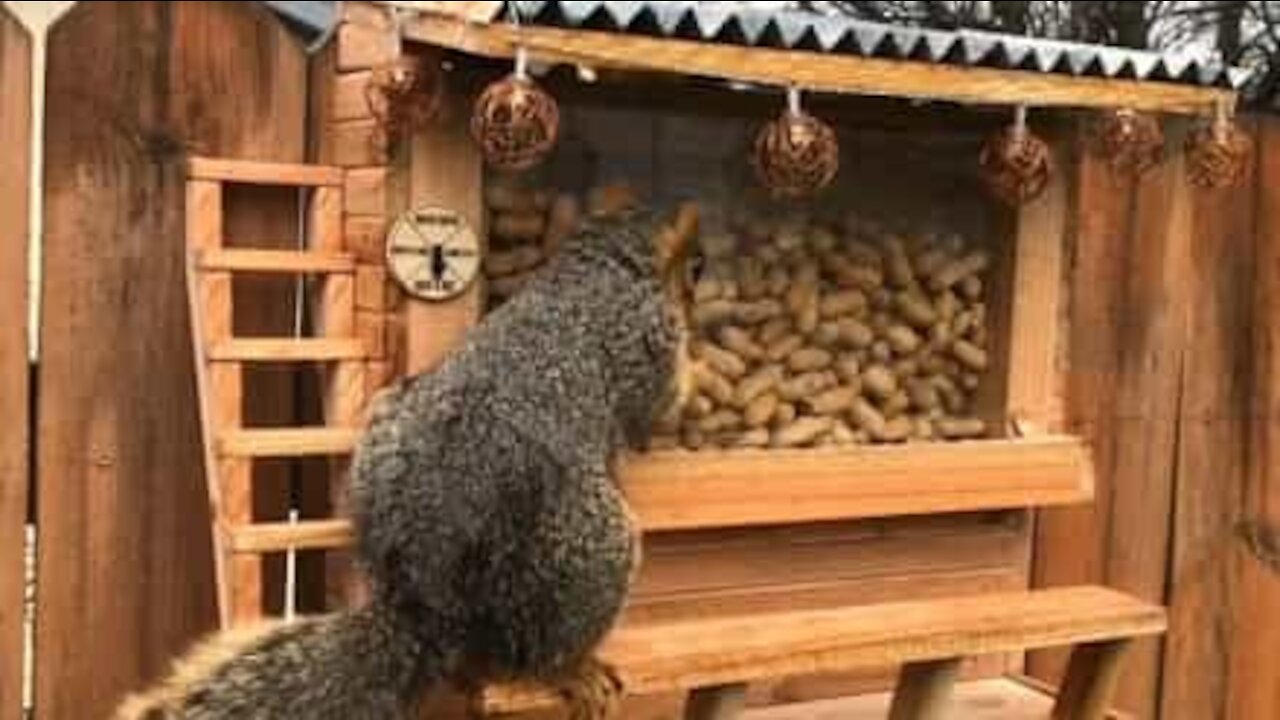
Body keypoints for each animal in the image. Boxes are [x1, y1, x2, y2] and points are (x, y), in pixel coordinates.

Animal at [116, 202, 701, 717]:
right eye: (694, 266)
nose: (702, 281)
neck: (594, 267)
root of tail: (425, 598)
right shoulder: (646, 341)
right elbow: (659, 403)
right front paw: (695, 374)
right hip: (588, 552)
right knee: (533, 653)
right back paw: (575, 669)